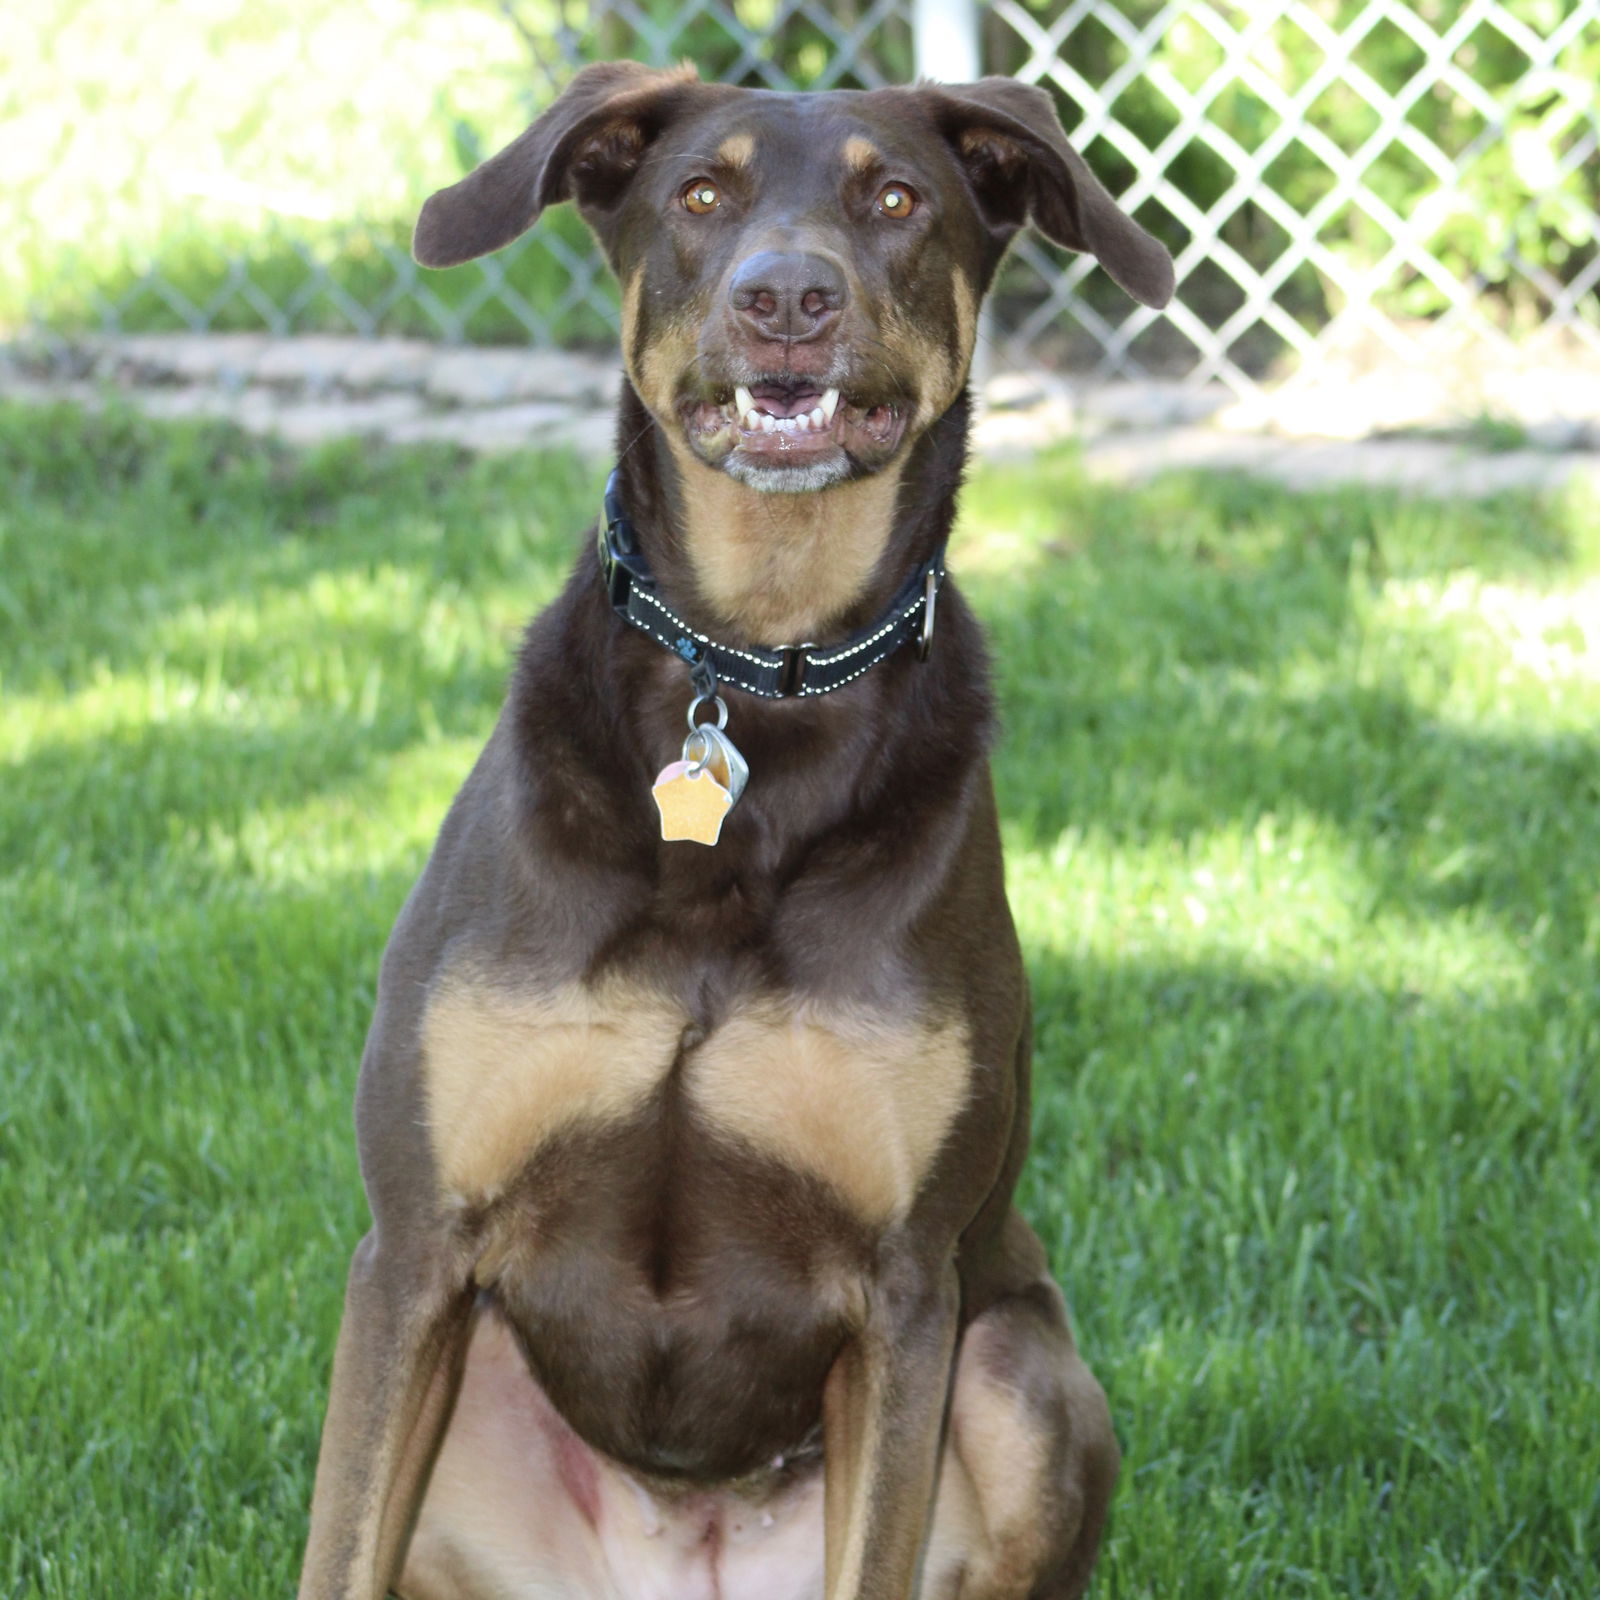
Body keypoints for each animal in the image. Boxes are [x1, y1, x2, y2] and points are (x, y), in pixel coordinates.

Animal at [300, 62, 1177, 1600]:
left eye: (897, 199)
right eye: (704, 192)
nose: (787, 298)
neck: (759, 667)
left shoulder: (905, 1291)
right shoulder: (413, 1253)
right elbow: (336, 1546)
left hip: (1018, 1374)